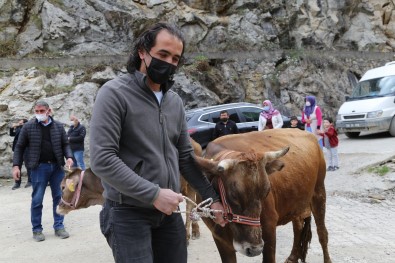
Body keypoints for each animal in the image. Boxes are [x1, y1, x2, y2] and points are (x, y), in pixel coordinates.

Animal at [195, 129, 332, 263]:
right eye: (233, 195)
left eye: (266, 192)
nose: (254, 249)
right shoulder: (219, 238)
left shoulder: (269, 229)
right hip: (296, 203)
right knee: (298, 226)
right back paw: (292, 257)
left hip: (319, 192)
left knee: (322, 233)